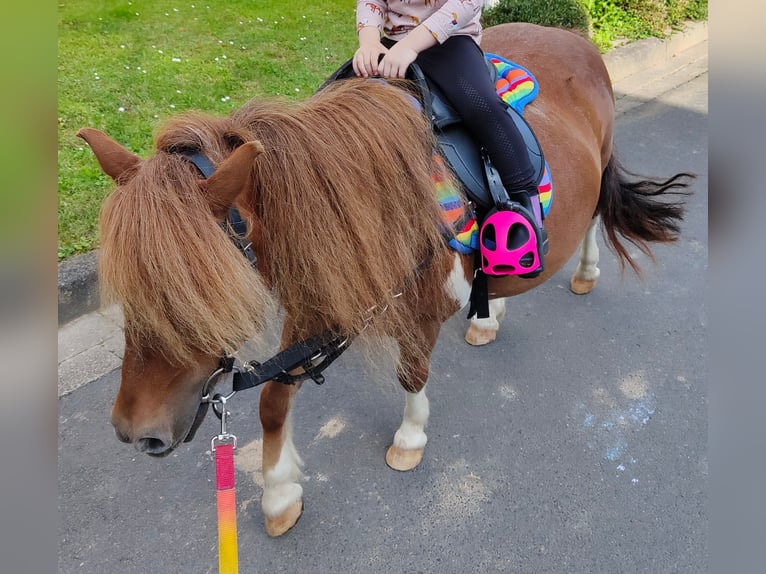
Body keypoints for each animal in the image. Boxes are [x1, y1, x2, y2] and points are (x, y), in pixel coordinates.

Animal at [76, 25, 688, 540]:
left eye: (202, 291)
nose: (136, 430)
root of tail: (571, 35)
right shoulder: (317, 296)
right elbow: (273, 401)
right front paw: (280, 496)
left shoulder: (419, 311)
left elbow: (411, 373)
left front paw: (409, 440)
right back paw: (491, 311)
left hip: (596, 165)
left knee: (590, 220)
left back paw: (582, 272)